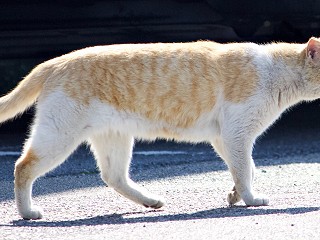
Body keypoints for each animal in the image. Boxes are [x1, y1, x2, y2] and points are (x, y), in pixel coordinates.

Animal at [0, 37, 320, 219]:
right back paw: (27, 212)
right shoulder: (236, 133)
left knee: (113, 176)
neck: (277, 71)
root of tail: (55, 62)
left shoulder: (225, 137)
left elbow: (246, 168)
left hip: (114, 137)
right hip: (59, 134)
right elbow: (244, 169)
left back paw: (150, 201)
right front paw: (251, 200)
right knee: (22, 166)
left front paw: (235, 195)